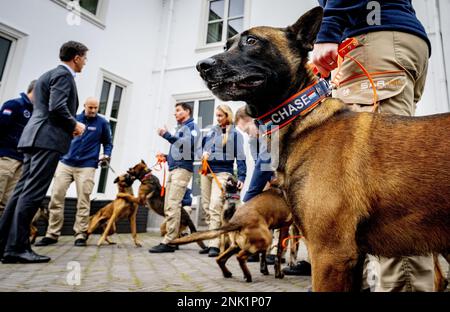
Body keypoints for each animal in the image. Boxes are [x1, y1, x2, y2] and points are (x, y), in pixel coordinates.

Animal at [196, 6, 450, 292]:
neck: (302, 117)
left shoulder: (330, 254)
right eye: (226, 45)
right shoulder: (351, 258)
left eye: (251, 41)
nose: (202, 66)